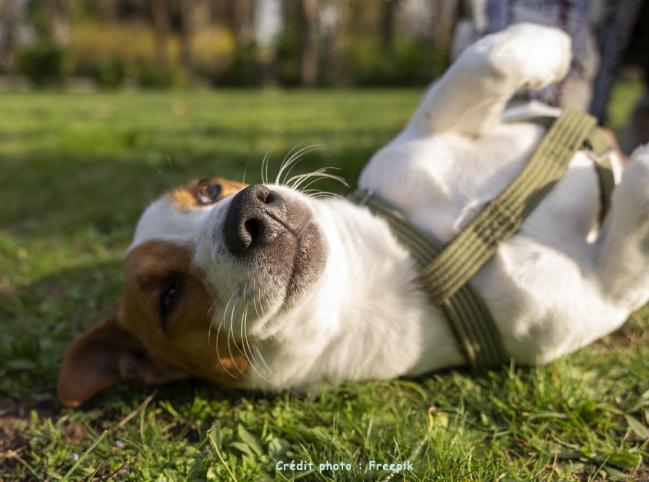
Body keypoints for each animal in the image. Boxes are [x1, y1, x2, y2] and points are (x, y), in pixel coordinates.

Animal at [58, 23, 644, 406]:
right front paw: (641, 166)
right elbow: (629, 245)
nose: (250, 216)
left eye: (207, 190)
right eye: (169, 297)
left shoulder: (426, 133)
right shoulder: (598, 299)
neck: (390, 270)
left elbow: (484, 62)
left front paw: (552, 46)